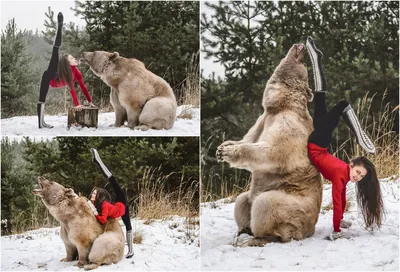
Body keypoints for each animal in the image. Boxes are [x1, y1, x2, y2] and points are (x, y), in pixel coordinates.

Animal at [216, 43, 322, 245]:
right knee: (242, 201)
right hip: (254, 198)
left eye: (305, 65)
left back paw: (258, 237)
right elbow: (250, 138)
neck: (281, 104)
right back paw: (243, 229)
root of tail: (310, 229)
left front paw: (230, 151)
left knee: (266, 203)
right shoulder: (262, 120)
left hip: (293, 206)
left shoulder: (289, 123)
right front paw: (223, 147)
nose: (301, 45)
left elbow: (272, 151)